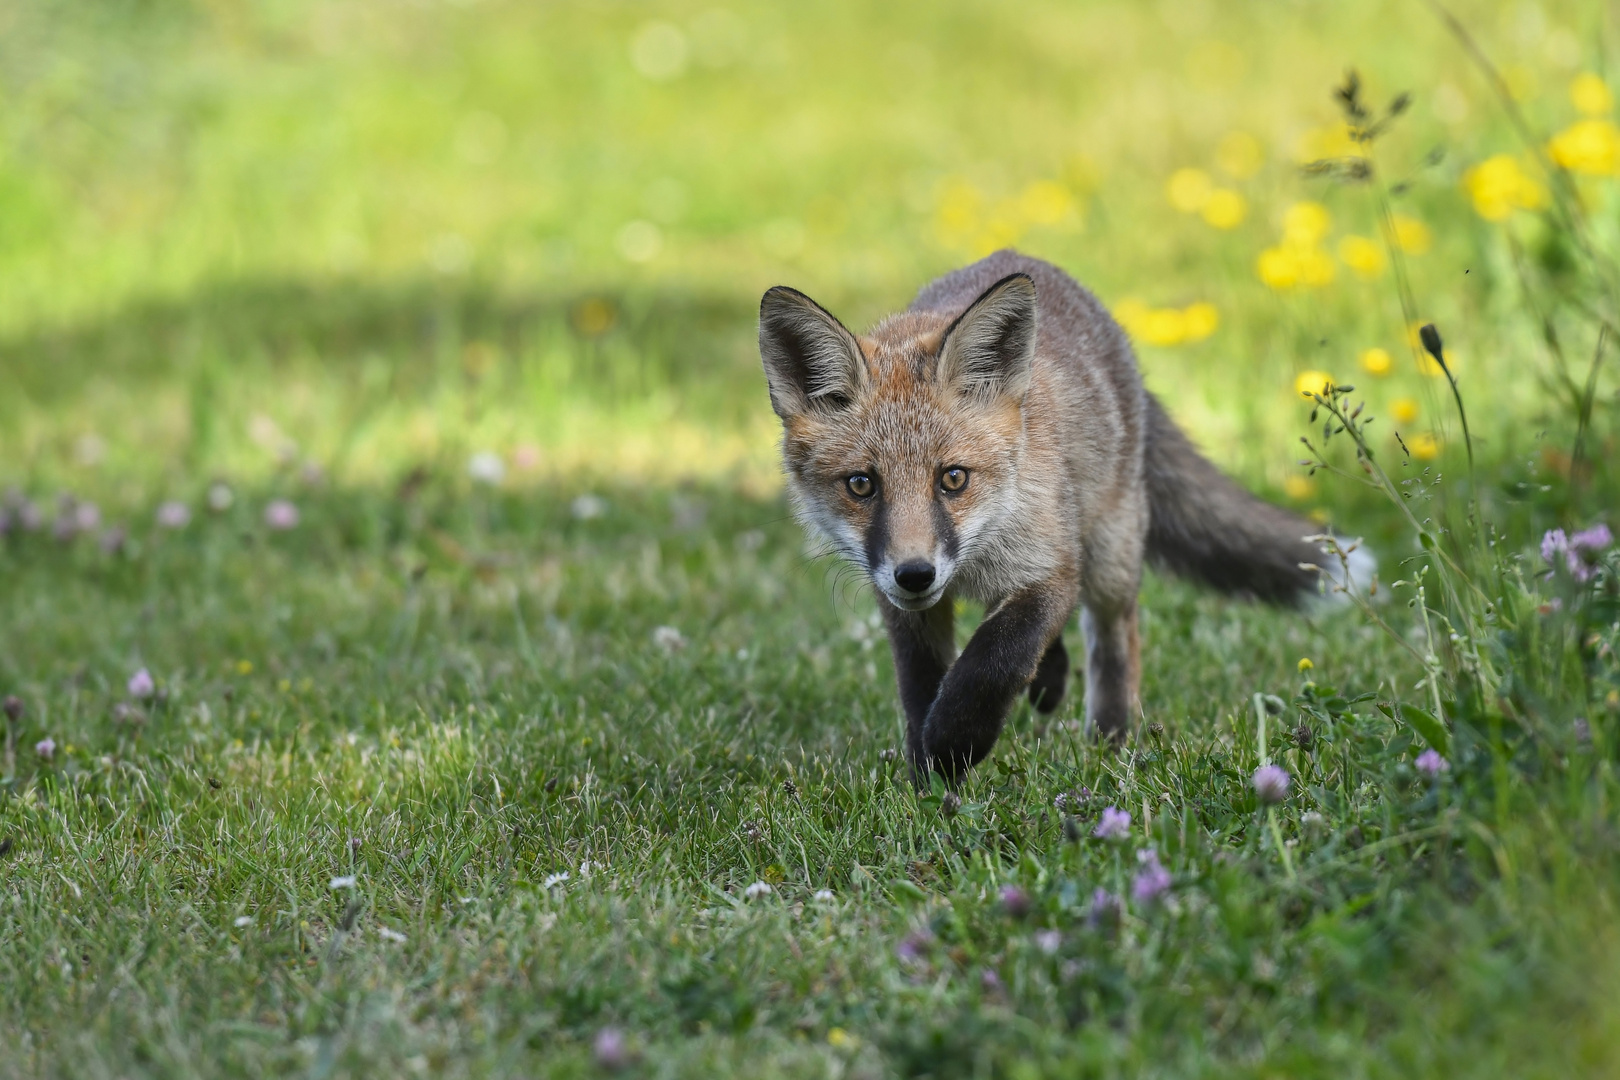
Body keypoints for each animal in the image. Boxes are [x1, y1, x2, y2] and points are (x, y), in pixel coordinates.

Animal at [758, 249, 1367, 780]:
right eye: (862, 484)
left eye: (953, 478)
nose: (916, 574)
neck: (975, 560)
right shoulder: (901, 602)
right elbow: (922, 684)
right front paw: (927, 780)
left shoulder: (1053, 564)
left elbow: (996, 657)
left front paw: (954, 742)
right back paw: (1053, 684)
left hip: (1111, 556)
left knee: (1116, 637)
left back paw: (1109, 743)